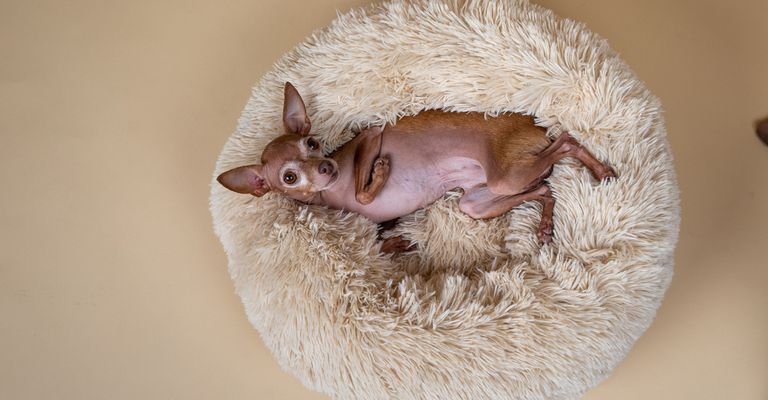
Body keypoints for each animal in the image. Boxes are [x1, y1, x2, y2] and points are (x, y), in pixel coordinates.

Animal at [219, 82, 616, 250]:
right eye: (289, 176)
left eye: (312, 144)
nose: (327, 168)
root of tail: (533, 125)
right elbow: (378, 234)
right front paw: (395, 241)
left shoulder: (373, 133)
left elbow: (363, 194)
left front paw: (378, 172)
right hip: (477, 202)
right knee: (545, 188)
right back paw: (545, 226)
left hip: (506, 178)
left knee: (568, 141)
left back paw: (601, 172)